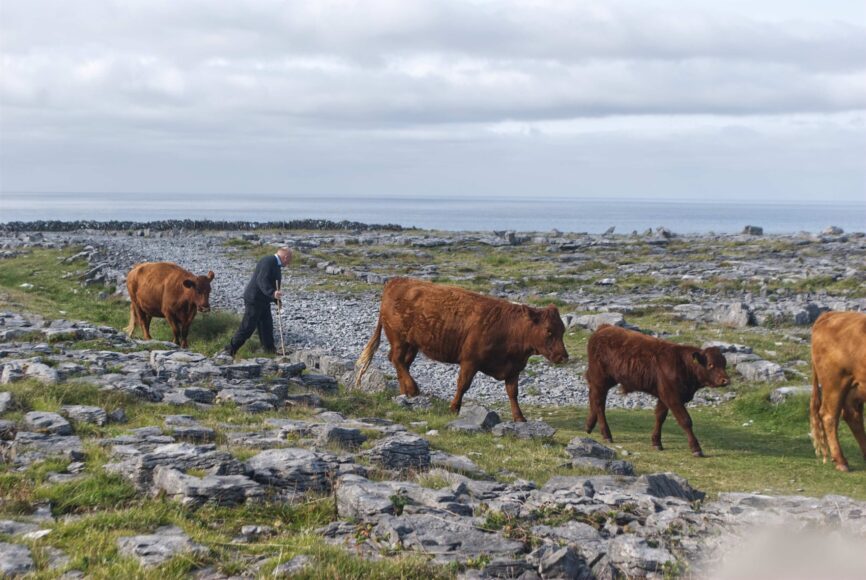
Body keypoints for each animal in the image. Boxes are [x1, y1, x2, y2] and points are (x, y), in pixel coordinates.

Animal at [352, 278, 568, 422]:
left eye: (563, 330)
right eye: (549, 331)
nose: (563, 356)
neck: (509, 329)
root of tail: (396, 281)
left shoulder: (513, 369)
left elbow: (513, 393)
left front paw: (520, 418)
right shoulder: (470, 361)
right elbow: (463, 385)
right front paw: (454, 408)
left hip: (413, 344)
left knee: (401, 362)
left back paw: (405, 391)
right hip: (399, 339)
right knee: (396, 359)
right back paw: (413, 389)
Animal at [584, 324, 724, 456]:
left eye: (724, 363)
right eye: (711, 364)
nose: (725, 380)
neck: (682, 364)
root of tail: (605, 327)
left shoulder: (664, 396)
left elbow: (660, 417)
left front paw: (656, 442)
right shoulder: (672, 397)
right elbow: (685, 420)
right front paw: (696, 449)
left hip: (606, 380)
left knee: (594, 396)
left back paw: (589, 425)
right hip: (600, 378)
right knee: (599, 403)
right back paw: (606, 434)